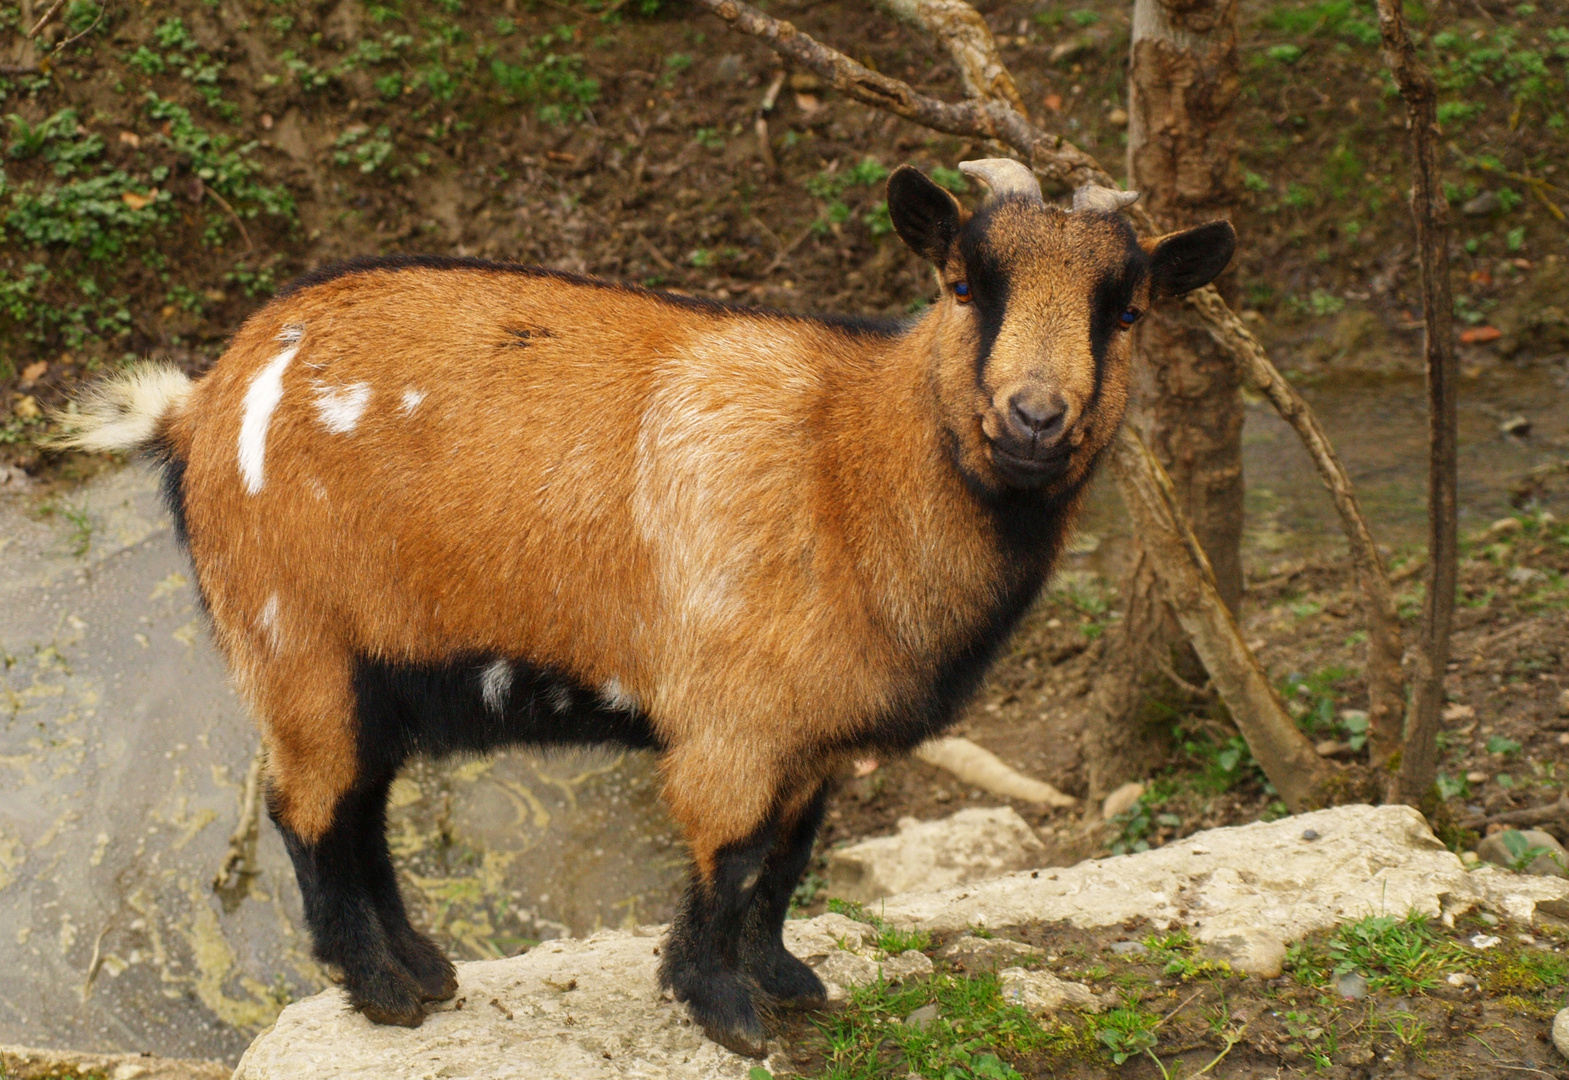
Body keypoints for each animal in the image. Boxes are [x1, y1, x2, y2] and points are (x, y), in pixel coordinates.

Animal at [61, 160, 1230, 1054]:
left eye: (1127, 308)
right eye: (960, 285)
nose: (1034, 416)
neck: (843, 465)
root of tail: (197, 407)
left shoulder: (811, 735)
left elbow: (788, 860)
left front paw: (785, 982)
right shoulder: (734, 722)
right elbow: (731, 857)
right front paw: (721, 1010)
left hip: (375, 668)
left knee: (361, 810)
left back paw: (427, 970)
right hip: (294, 643)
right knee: (307, 811)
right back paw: (385, 993)